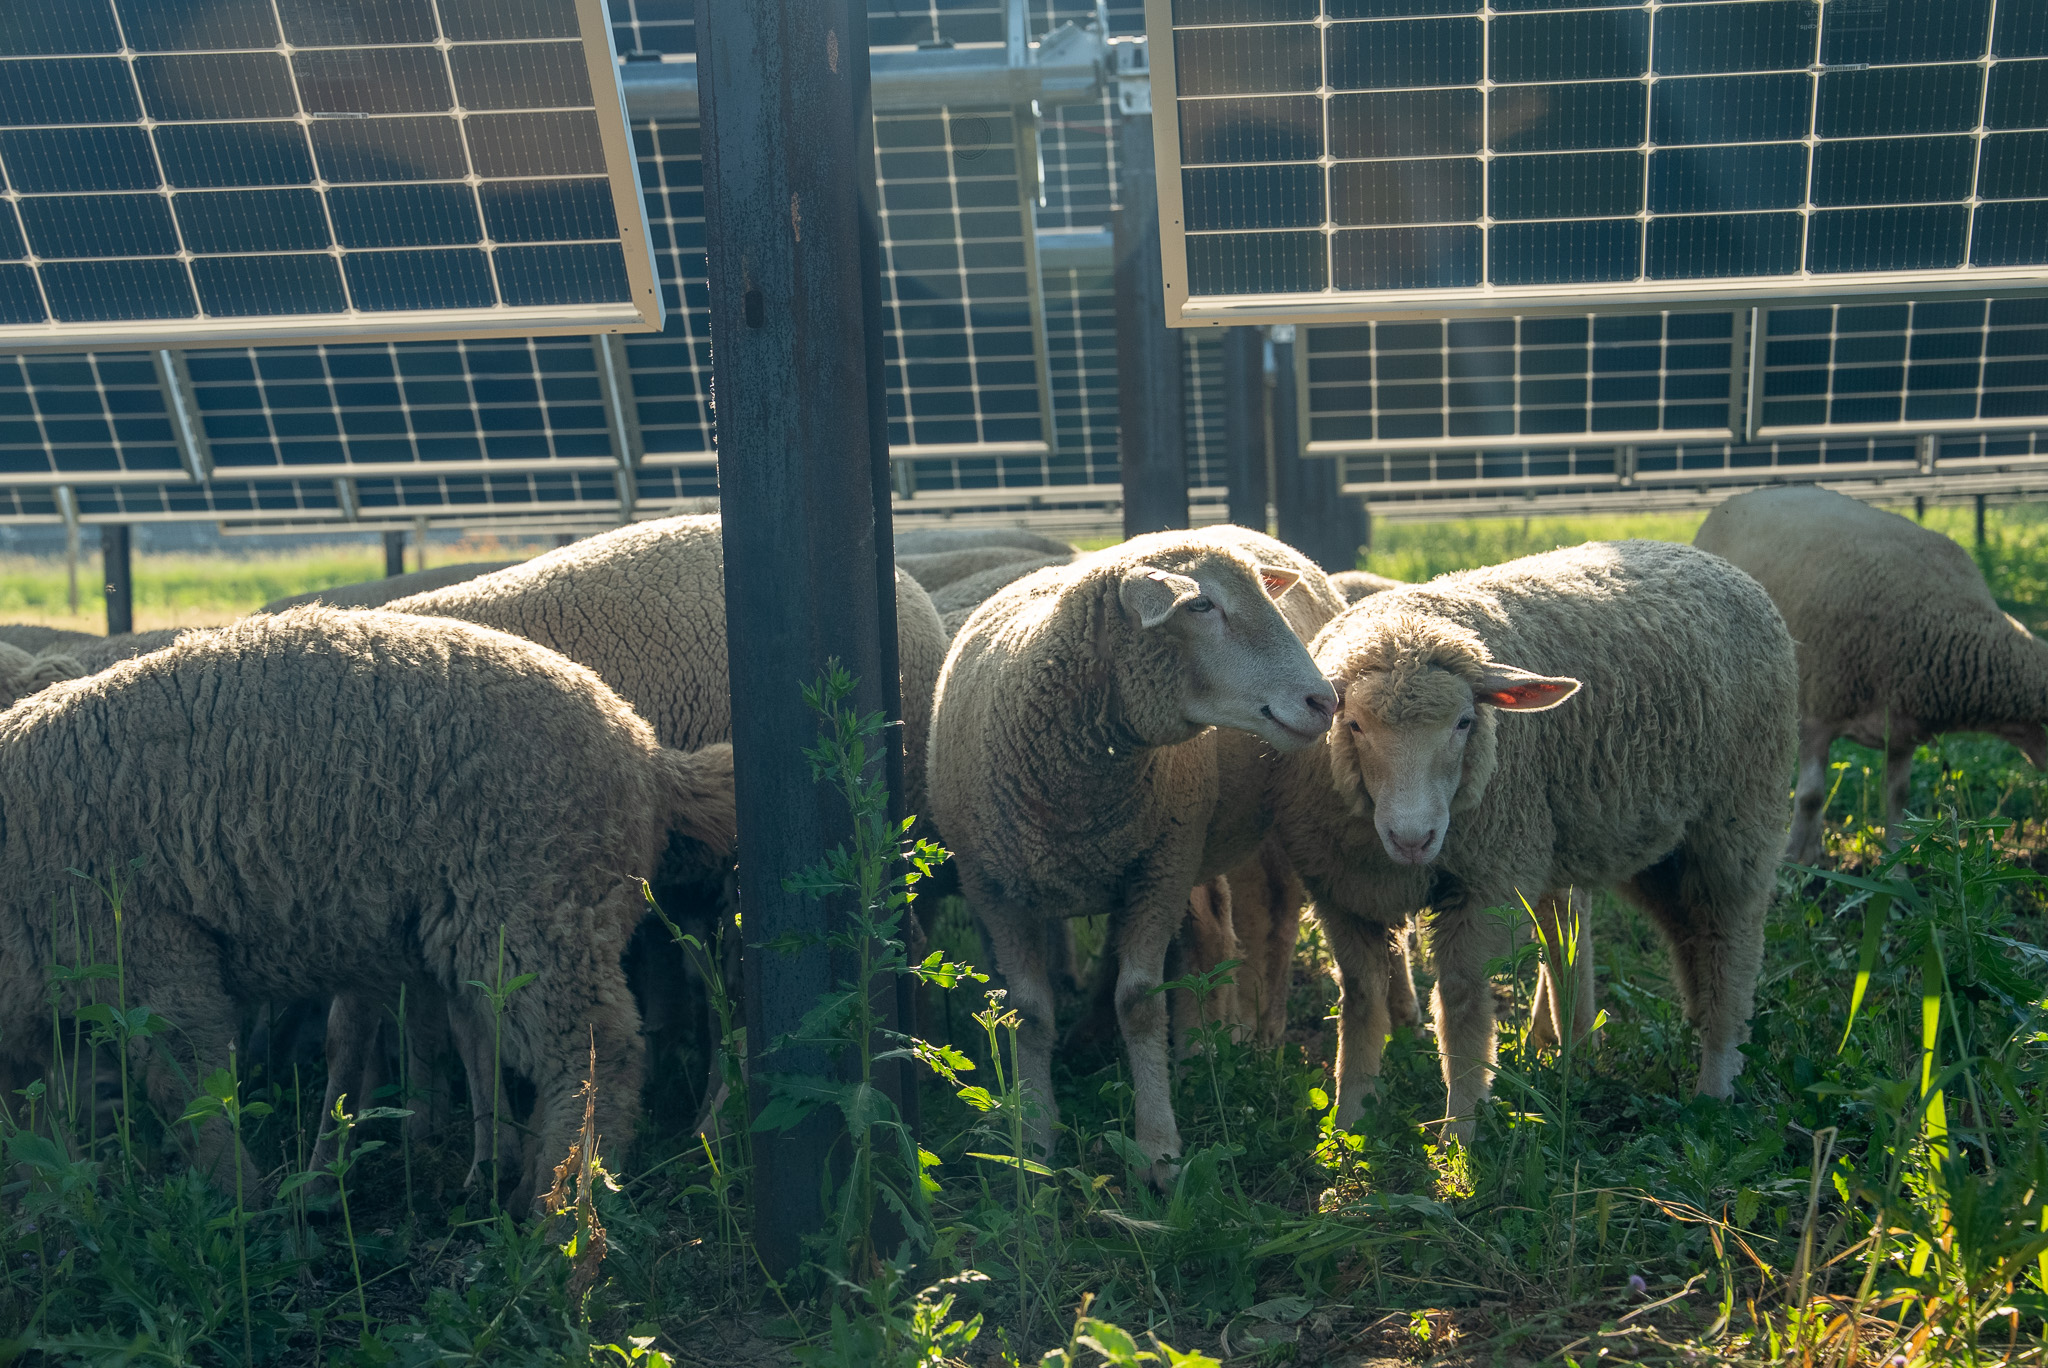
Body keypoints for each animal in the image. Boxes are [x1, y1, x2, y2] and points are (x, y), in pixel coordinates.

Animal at [0, 607, 736, 1207]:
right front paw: (52, 1210)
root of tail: (645, 752)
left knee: (595, 1055)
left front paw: (245, 1207)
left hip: (536, 909)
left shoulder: (154, 954)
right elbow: (37, 1122)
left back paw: (557, 1216)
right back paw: (528, 1184)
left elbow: (191, 1096)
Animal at [928, 525, 1344, 1182]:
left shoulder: (1161, 869)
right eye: (1200, 605)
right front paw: (1033, 1140)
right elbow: (1030, 1011)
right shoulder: (991, 884)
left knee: (1275, 920)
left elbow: (1140, 1002)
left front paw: (1158, 1148)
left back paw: (1263, 1039)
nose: (1323, 701)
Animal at [1270, 540, 1796, 1145]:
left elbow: (1463, 1001)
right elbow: (1359, 1000)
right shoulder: (1342, 893)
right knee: (1685, 936)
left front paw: (1462, 1127)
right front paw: (1349, 1120)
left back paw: (1716, 1083)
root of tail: (1706, 557)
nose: (1414, 837)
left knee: (1732, 942)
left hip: (1738, 817)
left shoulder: (1490, 882)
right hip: (1649, 843)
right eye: (1353, 724)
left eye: (1465, 722)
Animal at [1694, 484, 2048, 864]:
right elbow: (1810, 796)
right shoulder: (1815, 715)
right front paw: (1789, 864)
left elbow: (1898, 799)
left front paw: (1896, 869)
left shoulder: (1903, 731)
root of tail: (1743, 495)